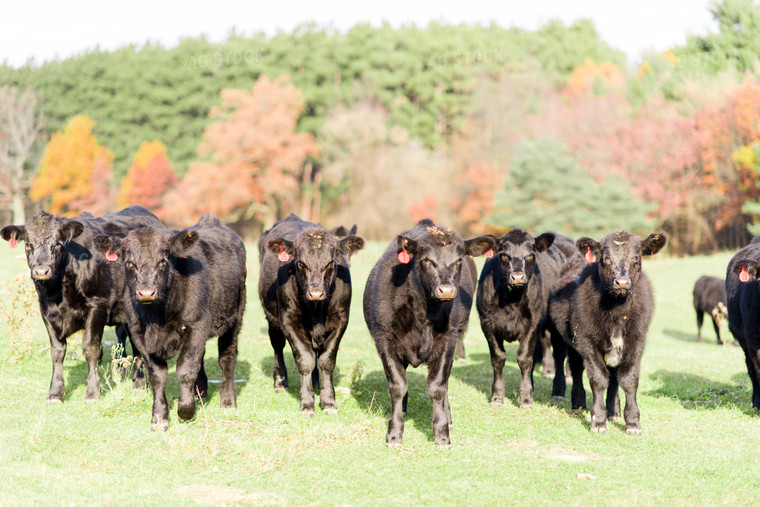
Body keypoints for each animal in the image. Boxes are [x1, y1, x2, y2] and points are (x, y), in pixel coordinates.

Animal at [1, 206, 163, 404]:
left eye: (57, 244)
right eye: (28, 244)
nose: (41, 271)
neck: (58, 293)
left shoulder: (97, 306)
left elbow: (91, 348)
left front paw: (92, 393)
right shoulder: (46, 311)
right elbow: (57, 352)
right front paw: (55, 393)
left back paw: (139, 384)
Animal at [93, 212, 245, 430]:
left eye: (163, 261)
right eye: (129, 262)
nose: (146, 292)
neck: (157, 316)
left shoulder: (197, 325)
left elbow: (185, 369)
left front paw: (186, 411)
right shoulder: (138, 333)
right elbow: (157, 375)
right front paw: (159, 418)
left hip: (235, 317)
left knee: (227, 358)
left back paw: (227, 401)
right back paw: (201, 392)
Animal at [258, 214, 366, 416]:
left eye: (330, 263)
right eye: (301, 263)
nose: (316, 293)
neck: (316, 309)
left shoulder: (340, 321)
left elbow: (326, 361)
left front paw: (328, 402)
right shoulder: (288, 321)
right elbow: (305, 360)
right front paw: (307, 404)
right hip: (272, 319)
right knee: (277, 346)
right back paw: (280, 383)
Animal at [548, 232, 664, 434]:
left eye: (636, 257)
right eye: (605, 258)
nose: (622, 282)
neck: (617, 311)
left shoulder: (637, 341)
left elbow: (628, 379)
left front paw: (632, 422)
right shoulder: (587, 341)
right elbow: (599, 379)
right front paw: (598, 420)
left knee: (611, 376)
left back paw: (613, 410)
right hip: (561, 337)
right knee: (570, 365)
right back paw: (575, 402)